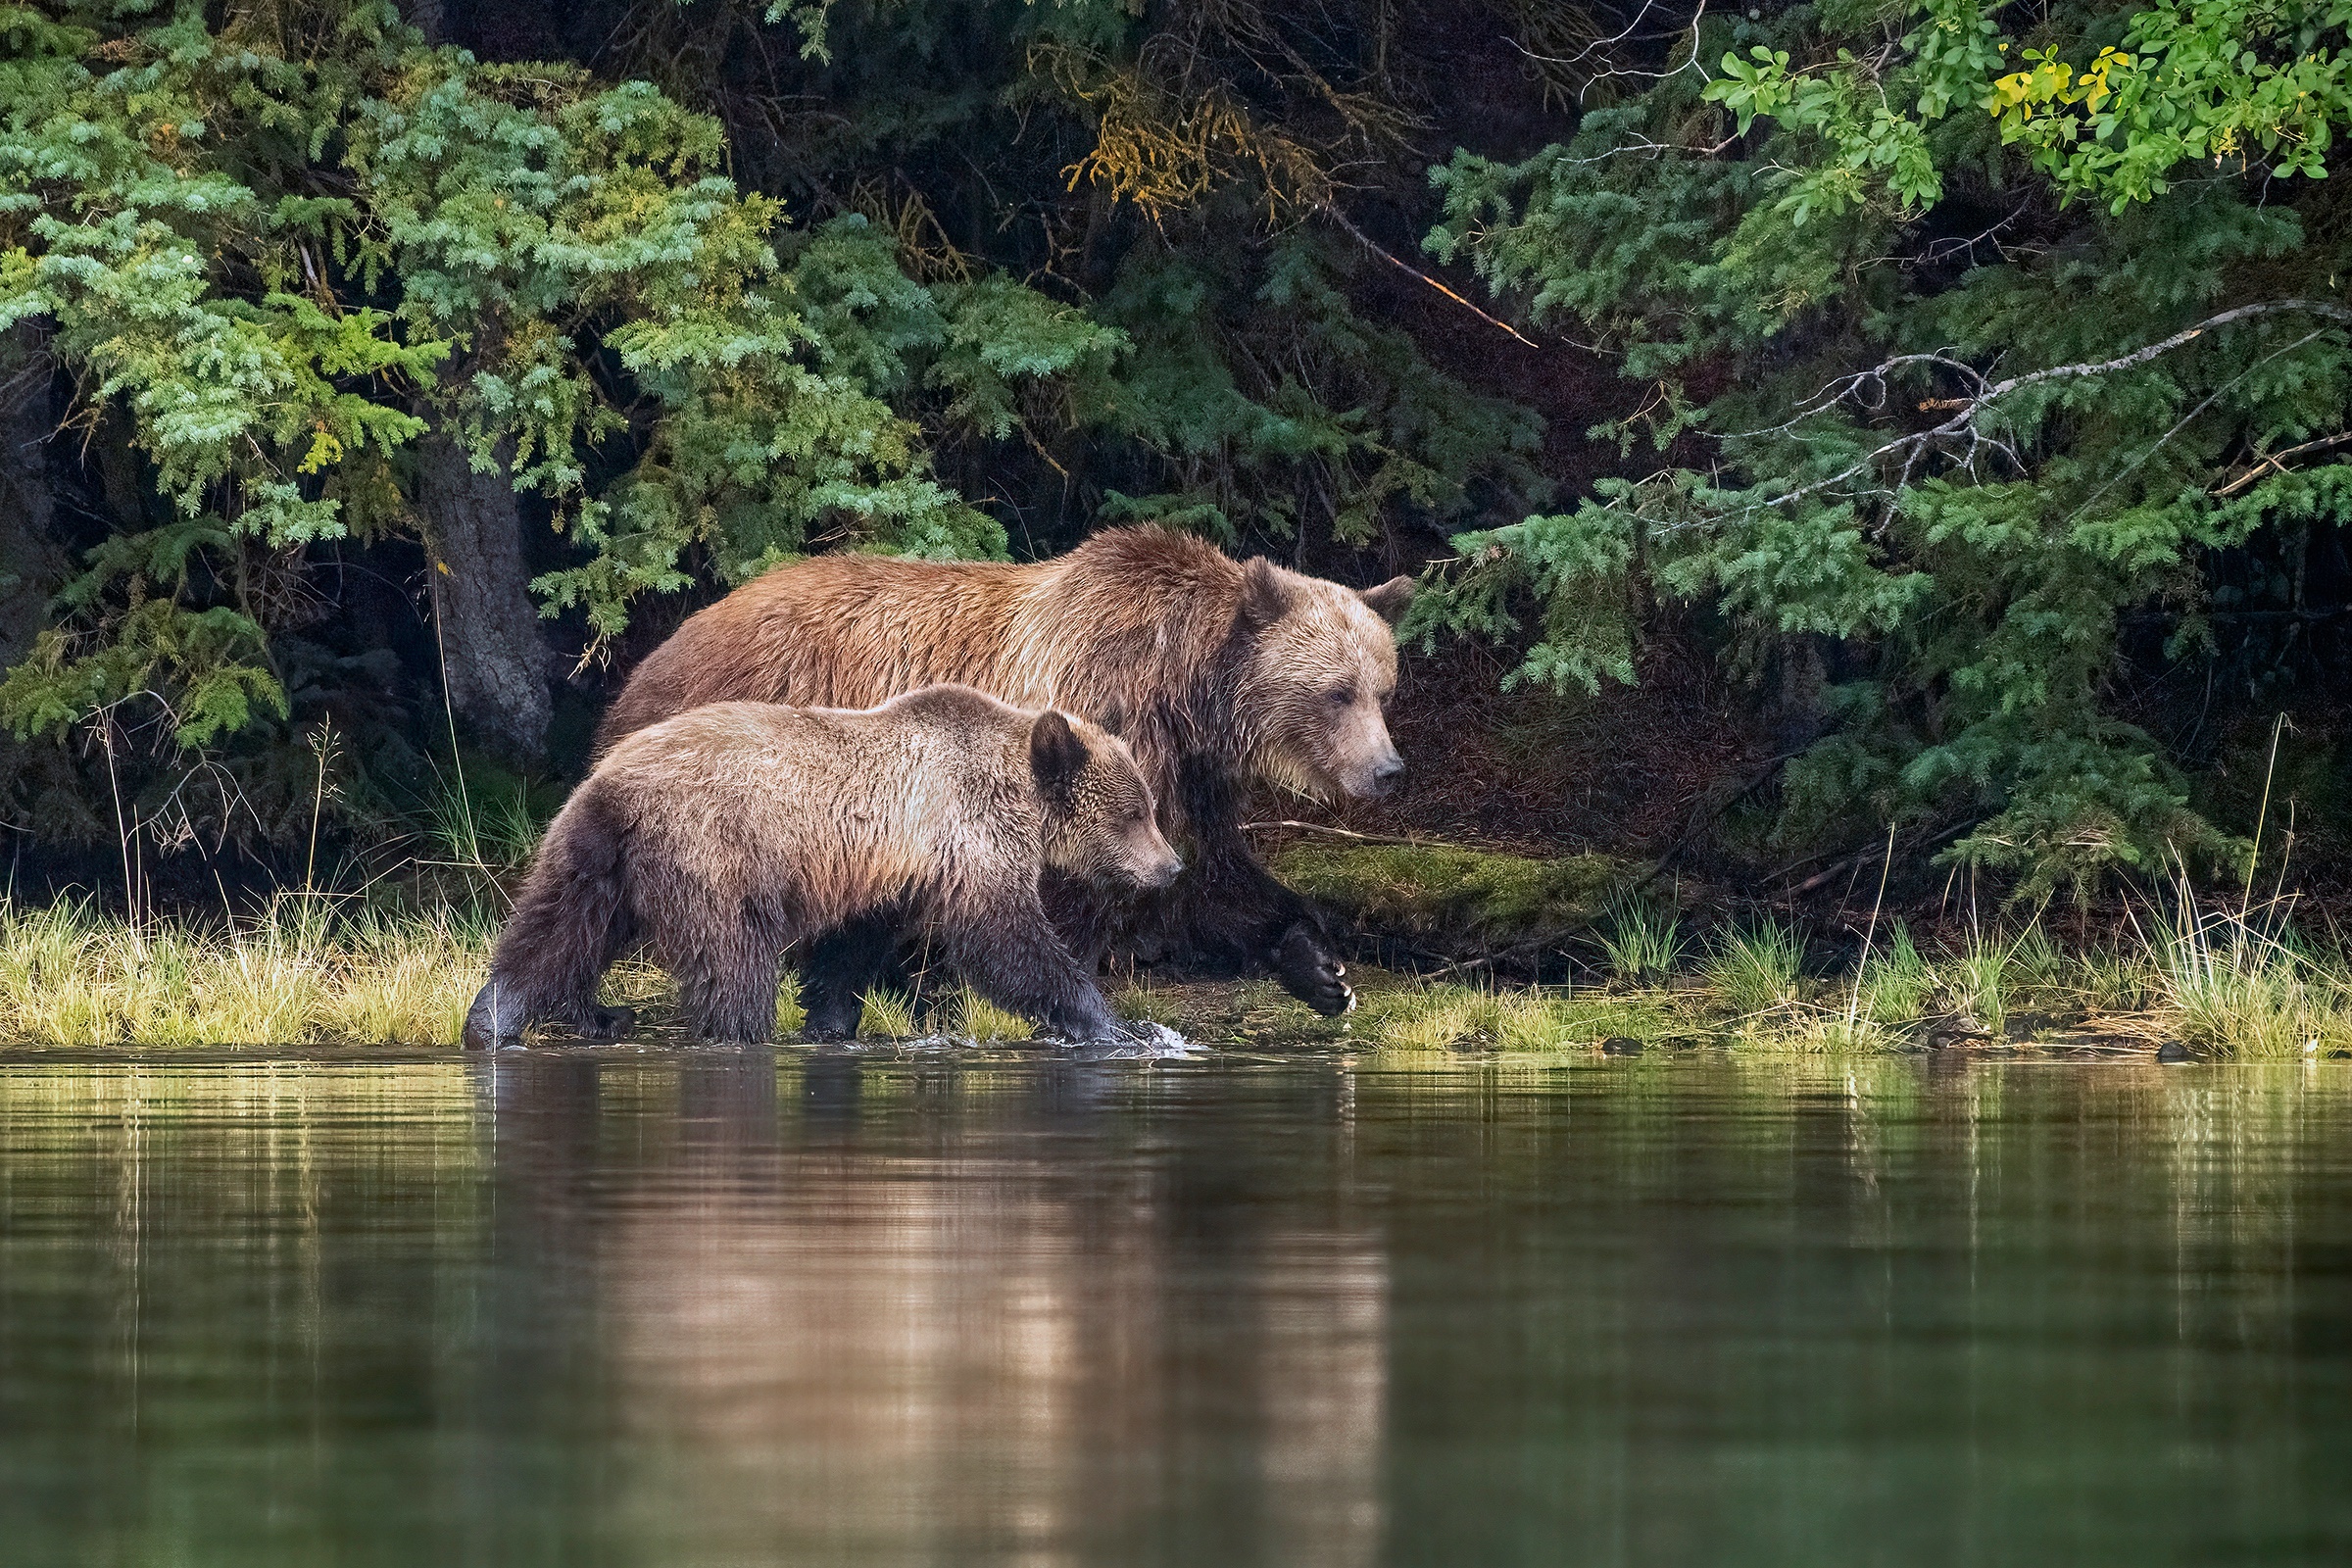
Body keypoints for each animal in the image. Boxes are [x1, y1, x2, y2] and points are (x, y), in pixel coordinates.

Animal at [462, 686, 1183, 1049]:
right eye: (1135, 813)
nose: (1172, 867)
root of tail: (612, 782)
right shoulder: (967, 835)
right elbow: (1006, 940)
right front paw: (1117, 1025)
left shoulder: (886, 875)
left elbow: (847, 951)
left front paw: (832, 1024)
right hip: (714, 852)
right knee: (733, 960)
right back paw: (736, 1032)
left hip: (591, 853)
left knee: (555, 933)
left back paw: (502, 1019)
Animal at [594, 525, 1412, 1030]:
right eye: (1338, 692)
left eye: (1384, 687)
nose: (1387, 769)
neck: (1186, 685)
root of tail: (647, 663)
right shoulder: (1096, 725)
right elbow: (1072, 891)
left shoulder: (1193, 774)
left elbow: (1213, 873)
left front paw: (1322, 968)